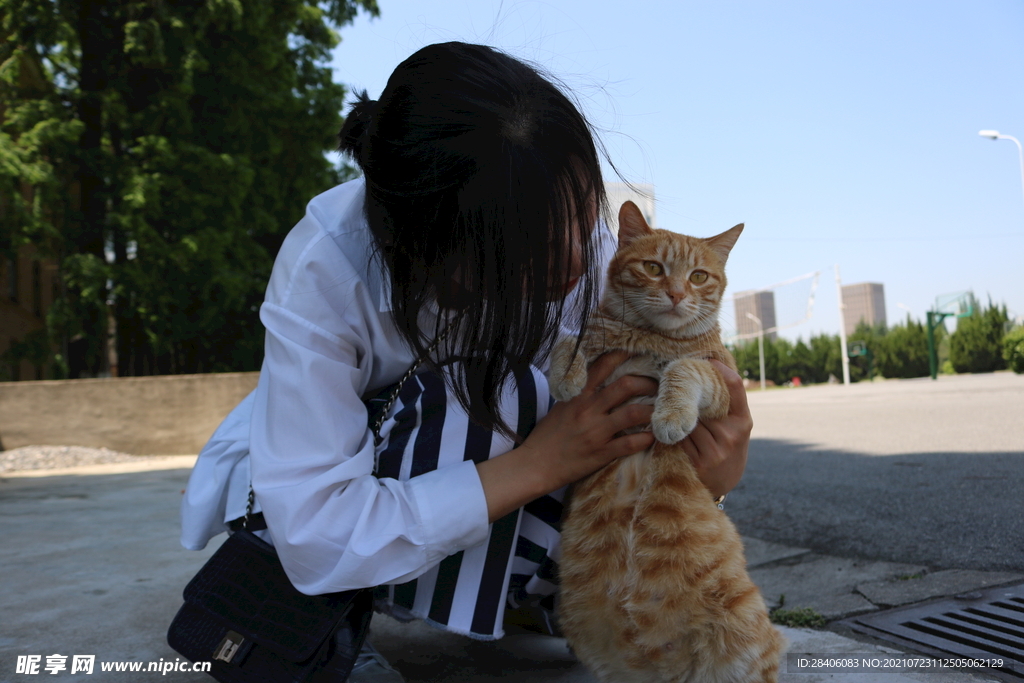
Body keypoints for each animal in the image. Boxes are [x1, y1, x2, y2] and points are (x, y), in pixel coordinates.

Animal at [552, 200, 782, 679]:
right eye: (653, 268)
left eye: (698, 276)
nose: (676, 294)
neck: (649, 338)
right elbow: (571, 339)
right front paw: (566, 375)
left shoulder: (721, 381)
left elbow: (683, 368)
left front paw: (670, 415)